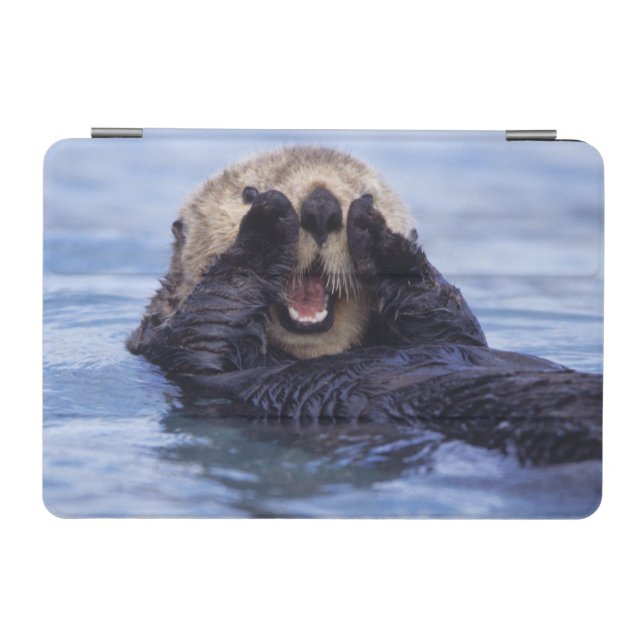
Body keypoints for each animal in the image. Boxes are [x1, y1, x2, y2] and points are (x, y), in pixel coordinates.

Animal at [128, 146, 602, 466]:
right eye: (247, 191)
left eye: (366, 192)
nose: (321, 205)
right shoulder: (175, 347)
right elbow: (213, 316)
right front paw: (267, 221)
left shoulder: (453, 333)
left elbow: (450, 320)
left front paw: (380, 235)